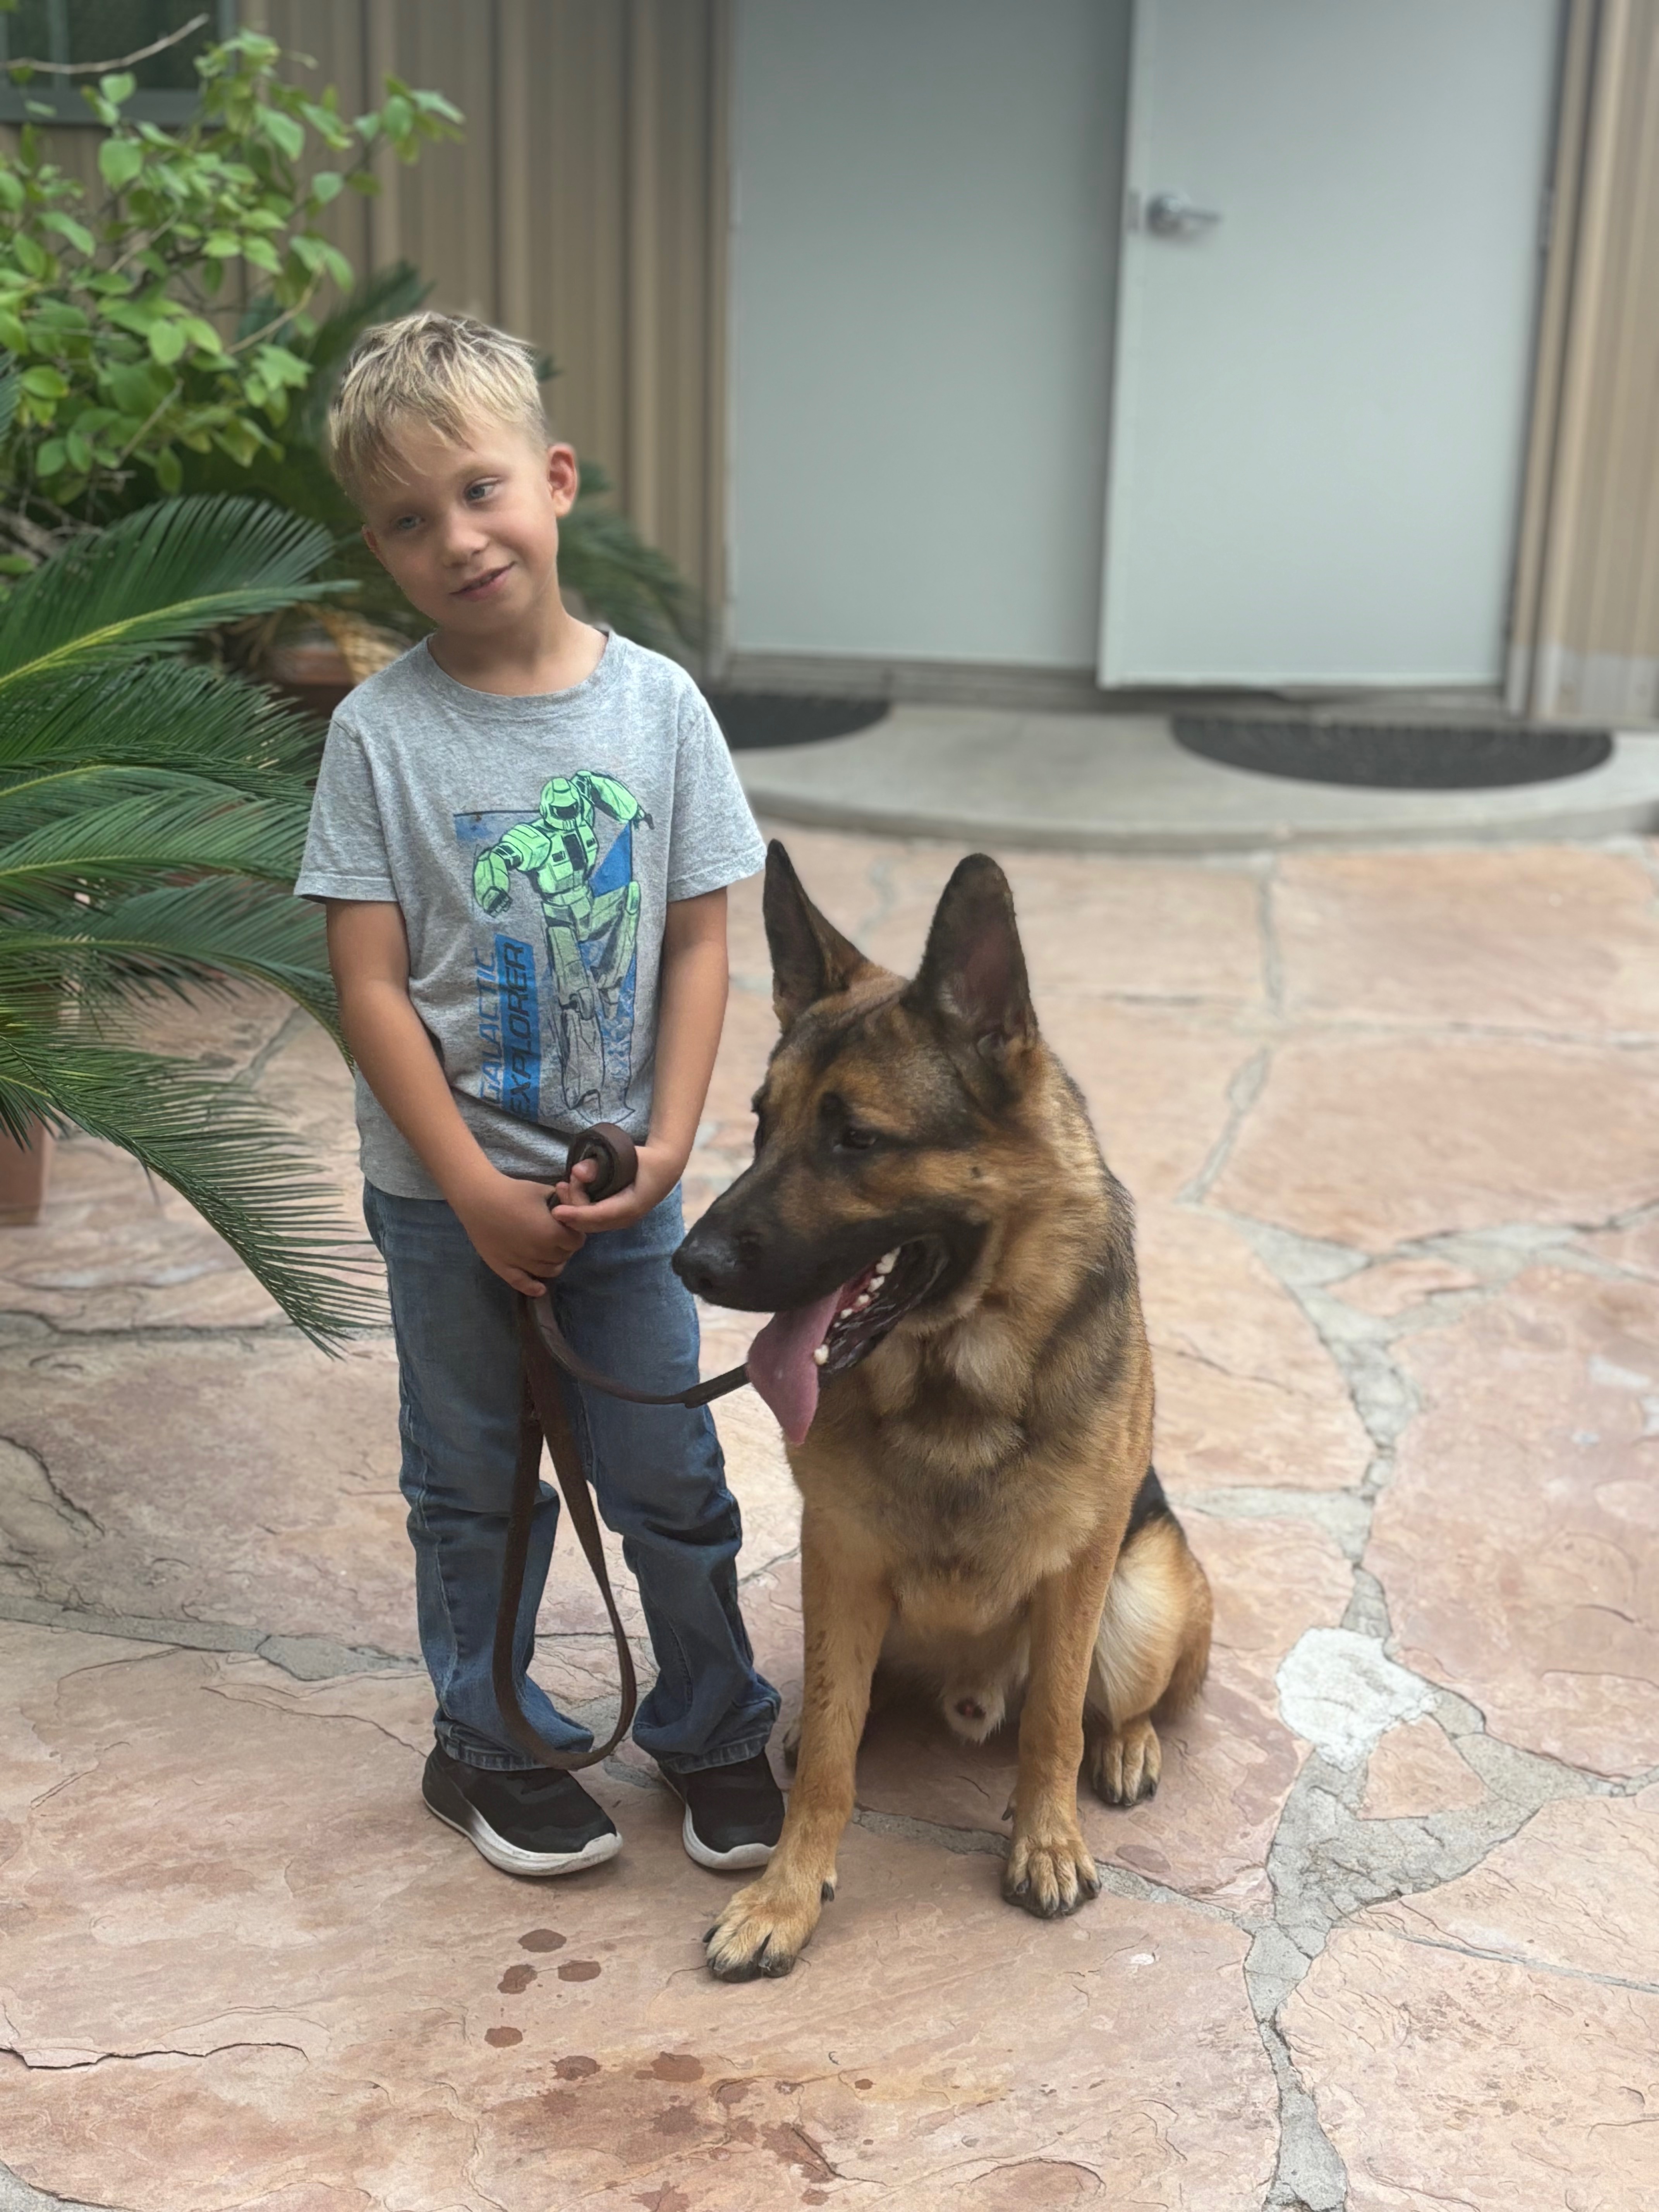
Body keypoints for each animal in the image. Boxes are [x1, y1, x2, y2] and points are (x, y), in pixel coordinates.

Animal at [674, 843, 1212, 1980]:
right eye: (760, 1123)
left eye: (855, 1139)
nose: (686, 1264)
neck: (957, 1374)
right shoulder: (840, 1559)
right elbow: (832, 1762)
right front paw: (787, 1894)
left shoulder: (1077, 1571)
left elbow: (1051, 1725)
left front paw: (1045, 1843)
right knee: (847, 1711)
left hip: (1143, 1600)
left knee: (1116, 1702)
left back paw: (1128, 1742)